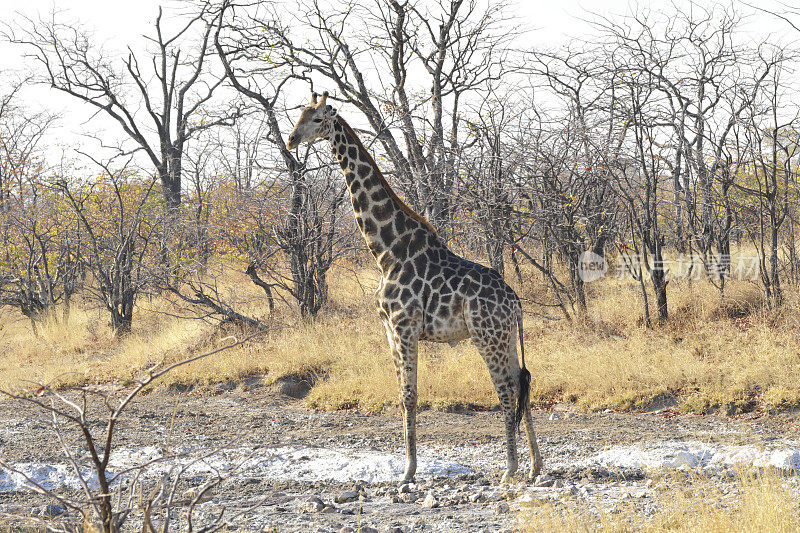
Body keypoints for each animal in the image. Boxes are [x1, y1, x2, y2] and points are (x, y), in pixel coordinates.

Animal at [288, 91, 544, 482]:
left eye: (317, 119)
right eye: (299, 115)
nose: (290, 140)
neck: (386, 250)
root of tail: (514, 301)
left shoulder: (403, 325)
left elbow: (410, 394)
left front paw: (408, 472)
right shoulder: (389, 329)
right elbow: (401, 393)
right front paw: (407, 467)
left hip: (487, 336)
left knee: (505, 390)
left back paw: (511, 468)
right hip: (507, 336)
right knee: (522, 383)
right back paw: (534, 466)